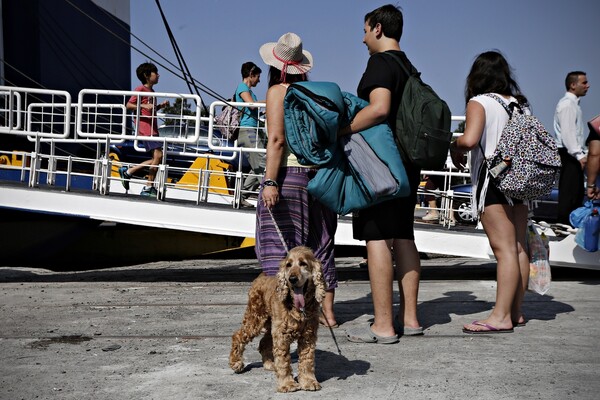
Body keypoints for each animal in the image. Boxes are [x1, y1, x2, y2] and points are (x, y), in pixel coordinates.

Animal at [229, 245, 326, 392]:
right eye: (288, 265)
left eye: (303, 264)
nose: (292, 278)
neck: (298, 308)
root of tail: (261, 275)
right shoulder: (281, 335)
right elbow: (283, 361)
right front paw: (287, 384)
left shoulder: (308, 335)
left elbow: (307, 360)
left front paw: (309, 381)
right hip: (255, 318)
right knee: (238, 335)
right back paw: (236, 363)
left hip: (271, 324)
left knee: (263, 342)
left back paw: (269, 364)